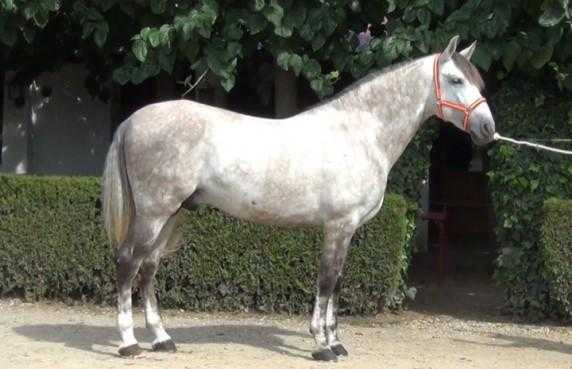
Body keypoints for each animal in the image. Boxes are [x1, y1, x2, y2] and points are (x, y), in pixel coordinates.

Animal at [100, 35, 494, 360]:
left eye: (478, 82)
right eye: (455, 80)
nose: (487, 128)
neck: (360, 133)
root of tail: (132, 120)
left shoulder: (346, 230)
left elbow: (337, 283)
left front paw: (337, 342)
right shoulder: (338, 226)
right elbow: (327, 281)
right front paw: (322, 345)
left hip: (170, 215)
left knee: (149, 268)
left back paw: (162, 339)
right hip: (153, 214)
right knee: (127, 263)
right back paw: (129, 343)